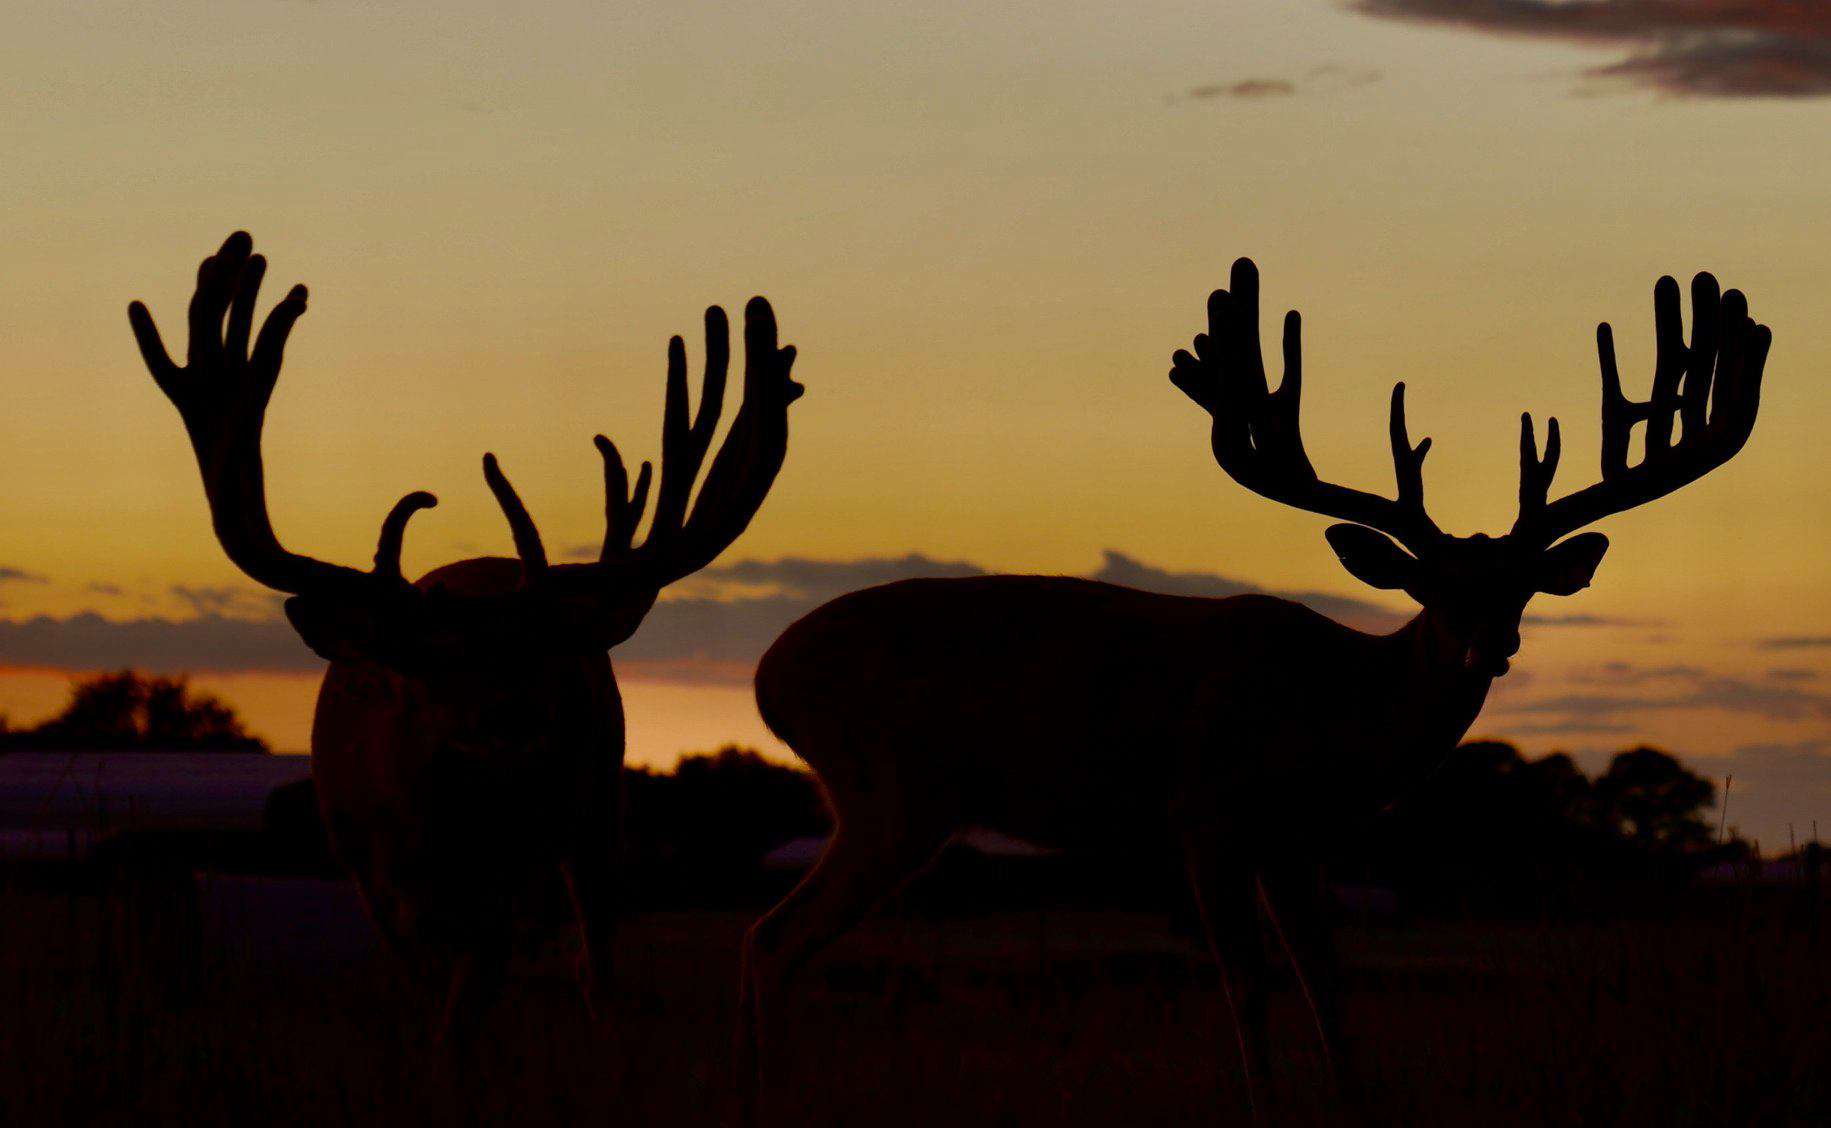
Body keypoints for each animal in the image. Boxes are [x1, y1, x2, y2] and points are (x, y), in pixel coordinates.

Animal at [128, 231, 803, 1046]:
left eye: (543, 662)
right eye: (425, 669)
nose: (515, 731)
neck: (442, 844)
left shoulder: (506, 879)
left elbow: (467, 1006)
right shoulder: (373, 878)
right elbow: (431, 999)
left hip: (596, 809)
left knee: (594, 955)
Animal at [738, 258, 1769, 1121]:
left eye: (1518, 589)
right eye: (1428, 587)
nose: (1484, 647)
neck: (1333, 710)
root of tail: (769, 673)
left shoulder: (1296, 840)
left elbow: (1328, 983)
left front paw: (1354, 1107)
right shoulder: (1207, 812)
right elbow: (1248, 982)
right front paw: (1265, 1109)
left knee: (771, 938)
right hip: (893, 789)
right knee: (774, 937)